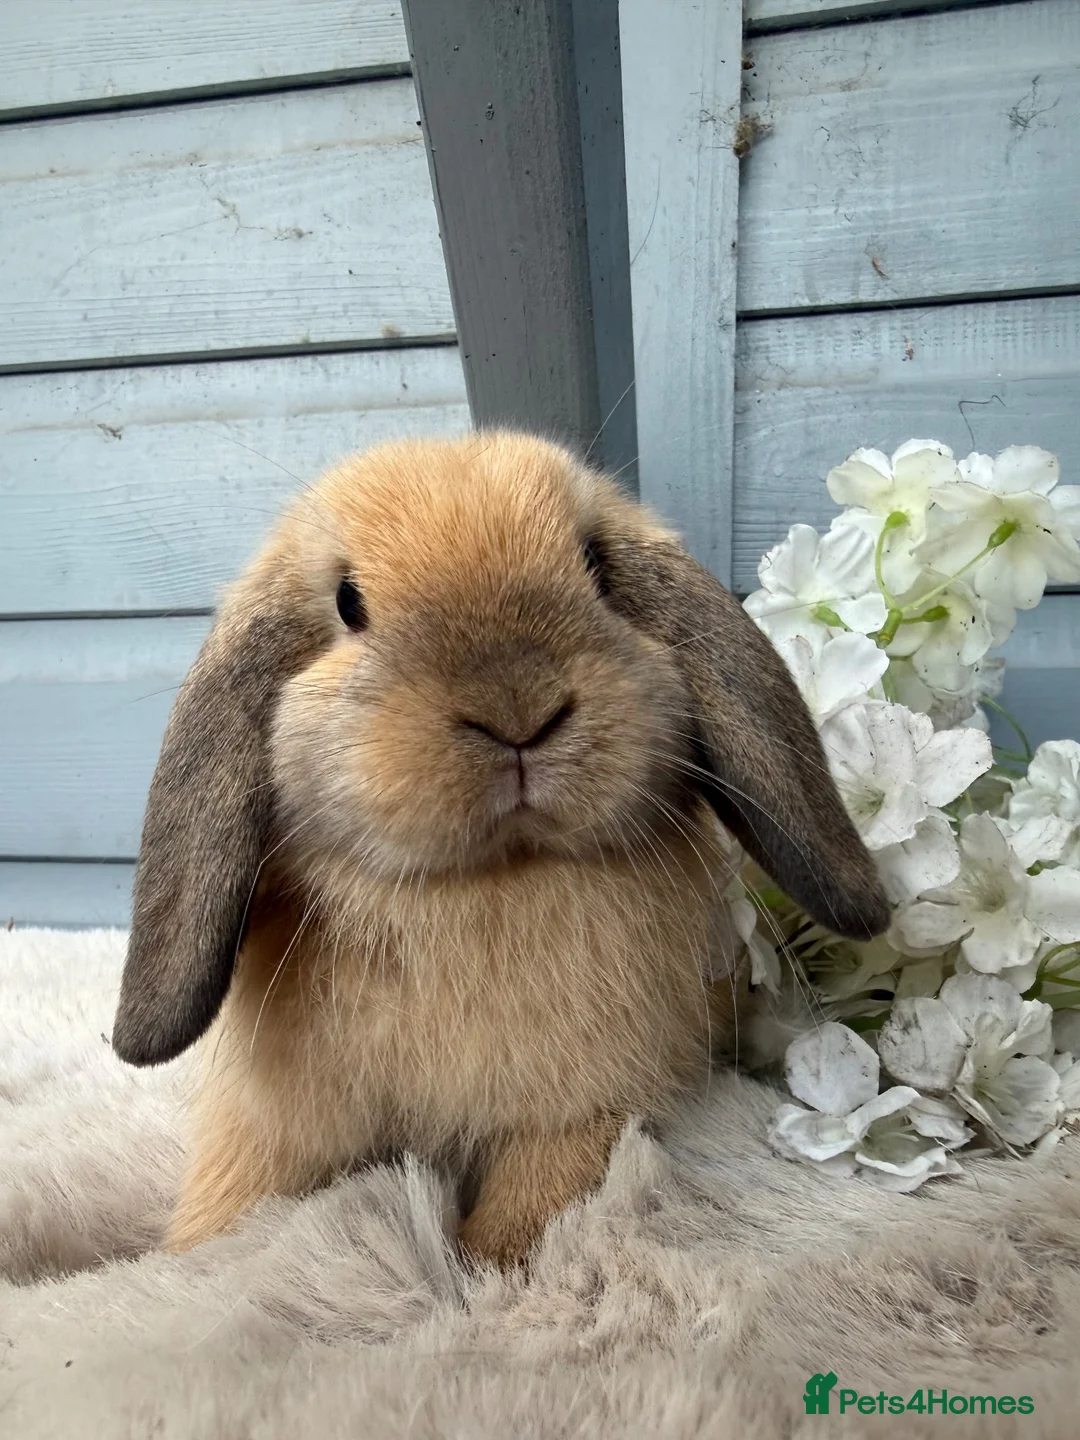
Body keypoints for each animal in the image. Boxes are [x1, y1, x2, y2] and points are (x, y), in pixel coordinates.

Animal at [111, 431, 890, 1268]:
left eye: (597, 568)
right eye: (348, 602)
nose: (517, 706)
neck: (485, 885)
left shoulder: (582, 1111)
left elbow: (532, 1204)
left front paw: (483, 1261)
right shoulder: (273, 1128)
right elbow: (234, 1206)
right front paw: (188, 1253)